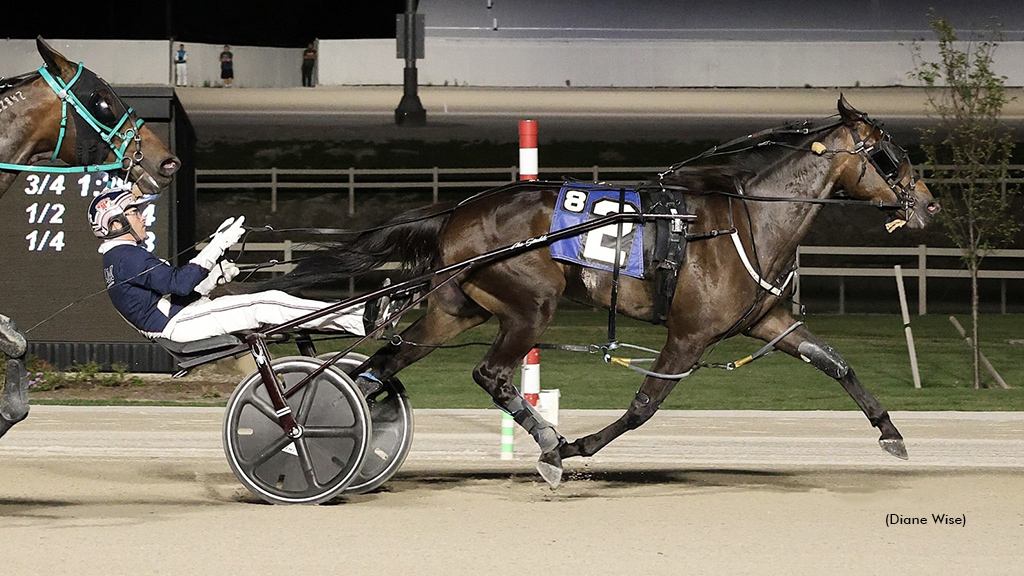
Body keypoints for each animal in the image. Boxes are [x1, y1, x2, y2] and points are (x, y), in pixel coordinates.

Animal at [231, 96, 941, 487]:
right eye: (889, 156)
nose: (930, 205)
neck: (745, 221)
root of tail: (456, 212)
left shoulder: (768, 324)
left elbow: (837, 364)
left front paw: (891, 434)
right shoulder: (688, 336)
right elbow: (643, 407)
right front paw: (570, 450)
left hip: (455, 309)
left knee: (381, 364)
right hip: (530, 305)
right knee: (490, 374)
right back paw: (543, 444)